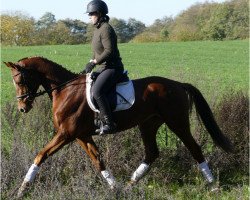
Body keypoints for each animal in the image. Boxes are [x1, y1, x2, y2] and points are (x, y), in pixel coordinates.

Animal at [3, 56, 233, 197]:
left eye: (20, 80)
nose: (22, 108)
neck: (65, 90)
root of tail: (178, 84)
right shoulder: (81, 136)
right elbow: (98, 161)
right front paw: (116, 189)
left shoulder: (66, 134)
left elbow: (40, 155)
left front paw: (22, 190)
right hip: (148, 124)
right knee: (151, 153)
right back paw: (130, 185)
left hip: (177, 122)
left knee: (194, 148)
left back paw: (213, 186)